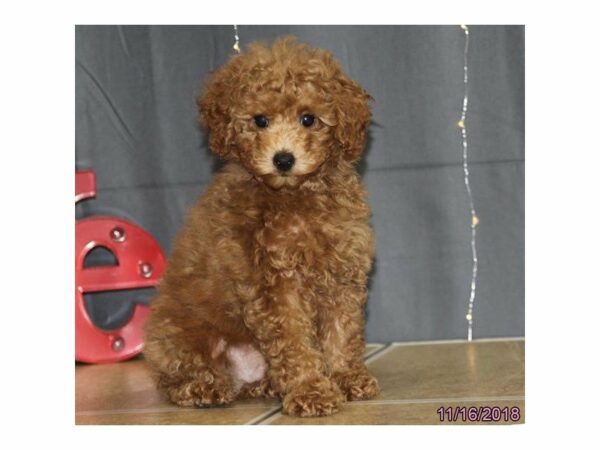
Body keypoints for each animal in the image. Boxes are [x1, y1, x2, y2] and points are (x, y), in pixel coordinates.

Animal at [144, 37, 380, 416]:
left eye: (308, 119)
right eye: (260, 120)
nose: (283, 159)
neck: (297, 195)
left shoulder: (342, 272)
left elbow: (342, 330)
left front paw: (346, 377)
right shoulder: (272, 286)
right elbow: (294, 341)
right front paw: (310, 390)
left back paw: (264, 386)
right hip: (175, 336)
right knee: (176, 377)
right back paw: (205, 387)